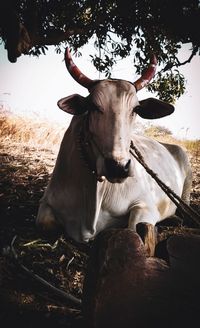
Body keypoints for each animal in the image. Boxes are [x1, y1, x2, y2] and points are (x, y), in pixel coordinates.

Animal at [36, 48, 192, 243]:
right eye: (94, 106)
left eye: (136, 109)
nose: (118, 166)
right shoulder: (46, 202)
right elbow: (45, 224)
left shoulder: (145, 206)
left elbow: (133, 229)